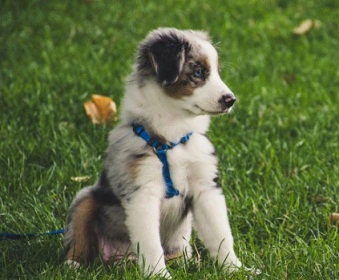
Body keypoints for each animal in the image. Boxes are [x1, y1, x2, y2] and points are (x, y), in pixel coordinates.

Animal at [64, 27, 244, 276]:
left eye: (217, 72)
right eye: (199, 72)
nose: (231, 100)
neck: (172, 137)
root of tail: (119, 258)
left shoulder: (205, 187)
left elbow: (220, 234)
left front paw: (237, 270)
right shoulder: (142, 193)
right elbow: (150, 243)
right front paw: (159, 275)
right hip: (85, 198)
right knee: (78, 235)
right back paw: (73, 264)